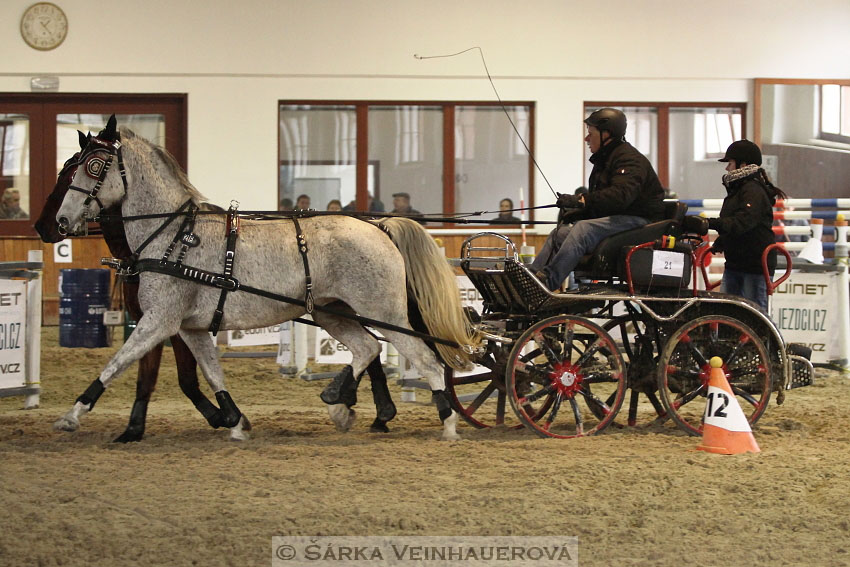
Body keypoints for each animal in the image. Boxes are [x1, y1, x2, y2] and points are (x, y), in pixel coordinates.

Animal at [53, 117, 476, 442]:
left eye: (93, 167)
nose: (60, 221)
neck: (174, 234)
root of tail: (379, 226)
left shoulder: (159, 320)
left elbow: (116, 363)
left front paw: (73, 415)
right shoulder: (190, 327)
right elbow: (213, 374)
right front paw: (235, 422)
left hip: (384, 314)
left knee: (427, 361)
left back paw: (448, 424)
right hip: (331, 312)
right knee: (367, 349)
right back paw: (338, 404)